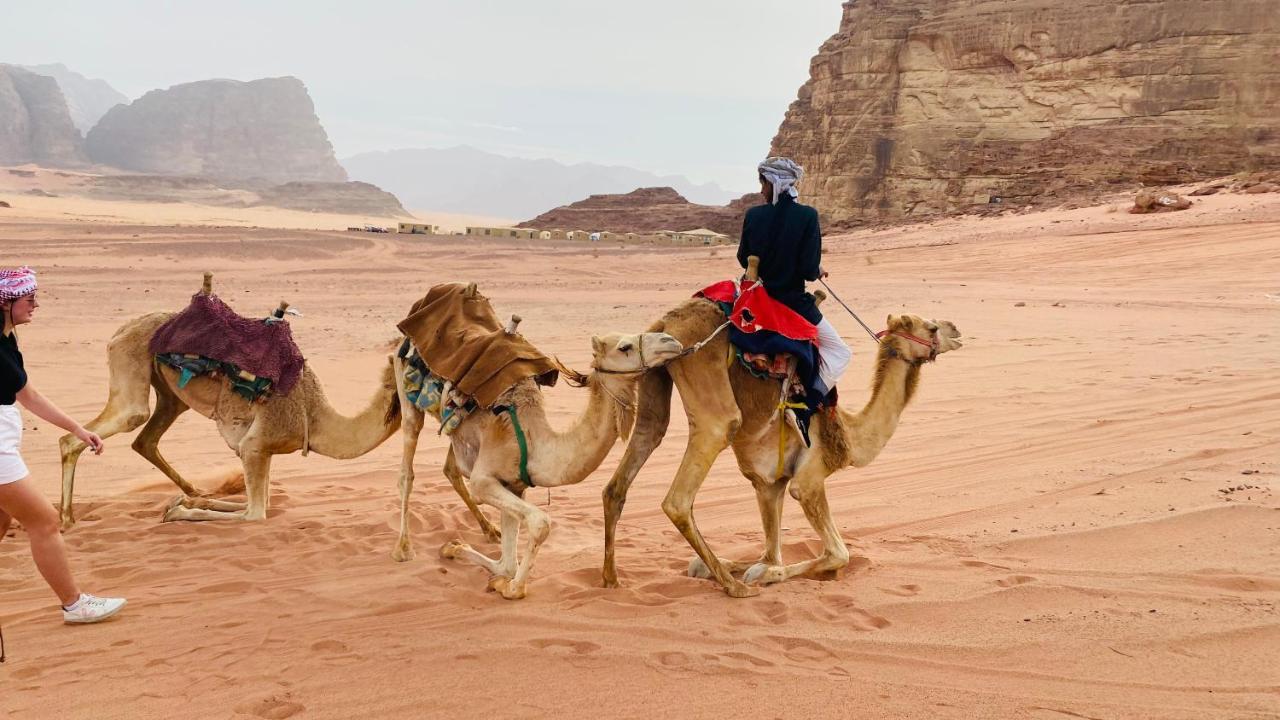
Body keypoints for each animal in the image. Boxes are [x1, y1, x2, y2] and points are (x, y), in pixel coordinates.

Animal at [57, 271, 399, 525]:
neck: (316, 419)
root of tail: (122, 329)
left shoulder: (263, 451)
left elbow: (260, 503)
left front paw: (184, 502)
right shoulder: (254, 447)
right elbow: (255, 513)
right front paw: (178, 509)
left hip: (169, 393)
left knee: (147, 437)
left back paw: (193, 489)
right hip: (131, 359)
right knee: (104, 427)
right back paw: (66, 519)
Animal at [391, 311, 686, 597]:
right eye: (624, 347)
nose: (671, 341)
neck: (537, 444)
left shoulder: (515, 484)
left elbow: (507, 563)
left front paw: (455, 549)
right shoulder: (483, 480)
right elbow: (540, 522)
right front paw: (511, 588)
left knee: (450, 468)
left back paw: (486, 532)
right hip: (405, 388)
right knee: (407, 468)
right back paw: (403, 549)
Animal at [596, 257, 962, 594]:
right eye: (931, 328)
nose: (956, 330)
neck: (849, 433)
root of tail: (665, 322)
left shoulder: (769, 484)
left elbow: (769, 552)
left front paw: (747, 567)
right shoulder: (808, 479)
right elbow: (836, 554)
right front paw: (764, 574)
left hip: (655, 379)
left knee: (638, 450)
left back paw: (612, 579)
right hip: (712, 400)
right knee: (683, 492)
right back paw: (734, 587)